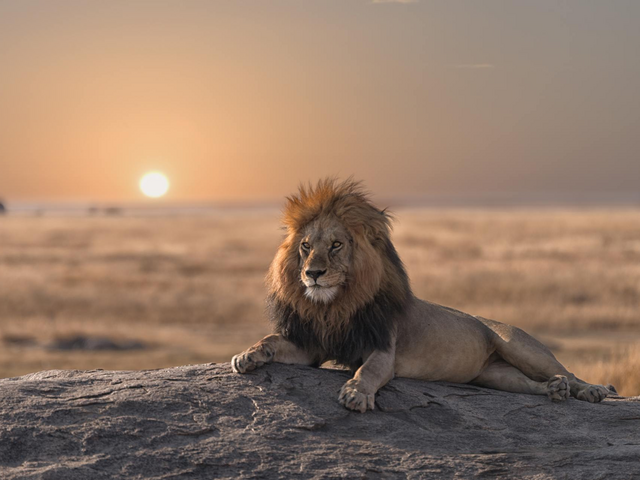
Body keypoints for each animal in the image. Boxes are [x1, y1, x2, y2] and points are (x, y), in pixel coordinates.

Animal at [231, 178, 610, 412]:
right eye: (307, 247)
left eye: (336, 245)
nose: (313, 273)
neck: (336, 305)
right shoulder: (313, 346)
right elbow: (272, 340)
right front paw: (247, 355)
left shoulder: (383, 349)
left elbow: (367, 371)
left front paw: (355, 393)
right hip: (494, 375)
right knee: (531, 384)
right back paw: (553, 391)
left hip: (520, 346)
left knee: (567, 372)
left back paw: (591, 390)